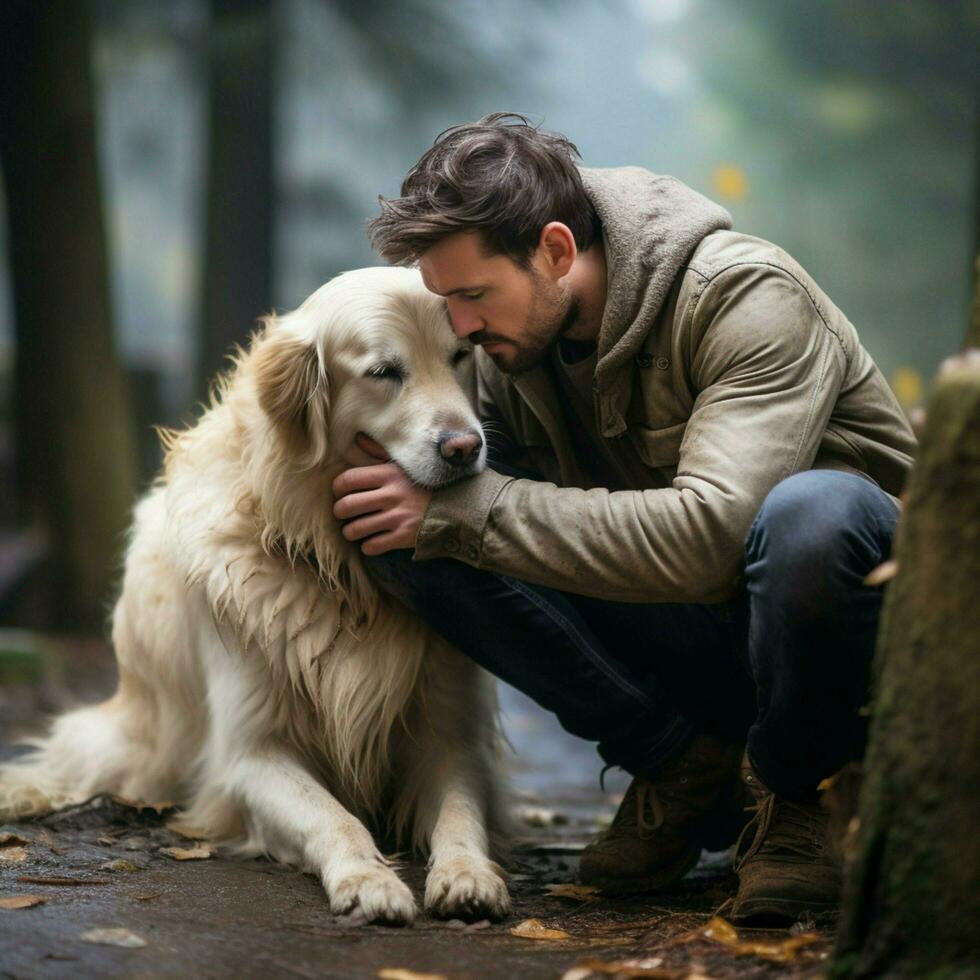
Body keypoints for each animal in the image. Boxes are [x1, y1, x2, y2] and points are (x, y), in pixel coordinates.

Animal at [0, 264, 506, 924]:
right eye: (384, 372)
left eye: (460, 356)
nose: (465, 448)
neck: (341, 571)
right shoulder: (247, 755)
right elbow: (332, 817)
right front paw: (368, 879)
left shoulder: (451, 737)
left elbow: (461, 813)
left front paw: (468, 875)